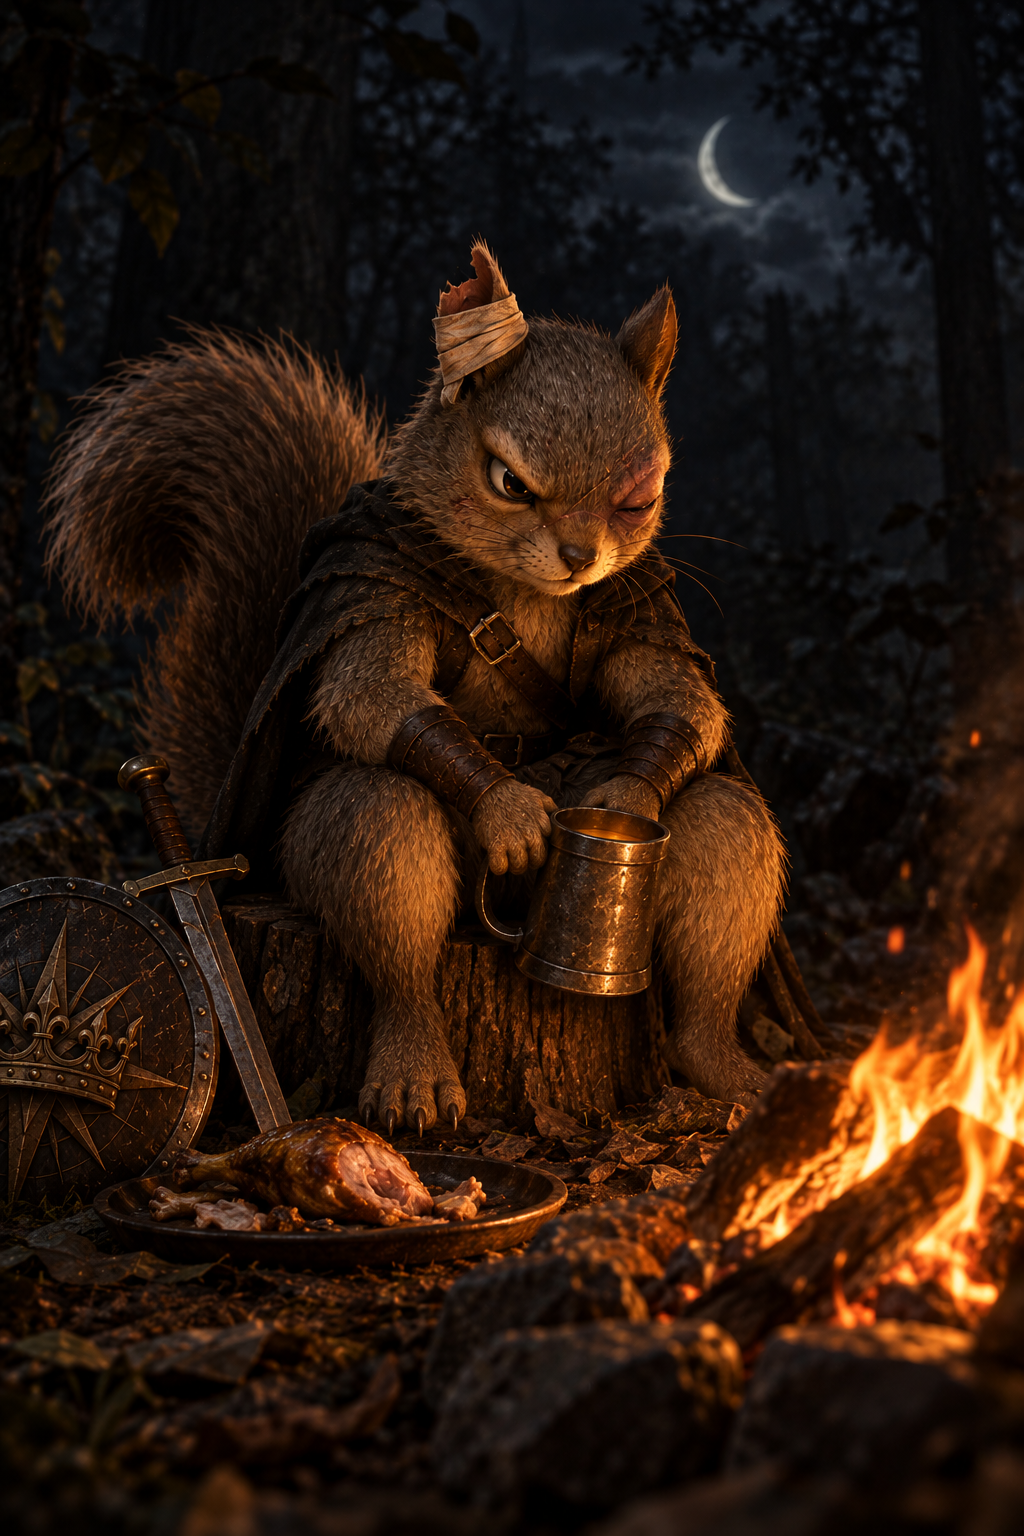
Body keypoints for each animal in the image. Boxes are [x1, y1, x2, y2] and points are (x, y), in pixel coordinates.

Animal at [45, 242, 785, 1129]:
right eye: (509, 481)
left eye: (640, 497)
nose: (580, 559)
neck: (526, 589)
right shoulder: (374, 580)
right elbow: (369, 694)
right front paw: (508, 811)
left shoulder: (639, 604)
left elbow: (677, 703)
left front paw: (626, 796)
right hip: (328, 837)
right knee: (384, 848)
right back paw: (414, 1072)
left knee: (721, 818)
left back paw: (726, 1069)